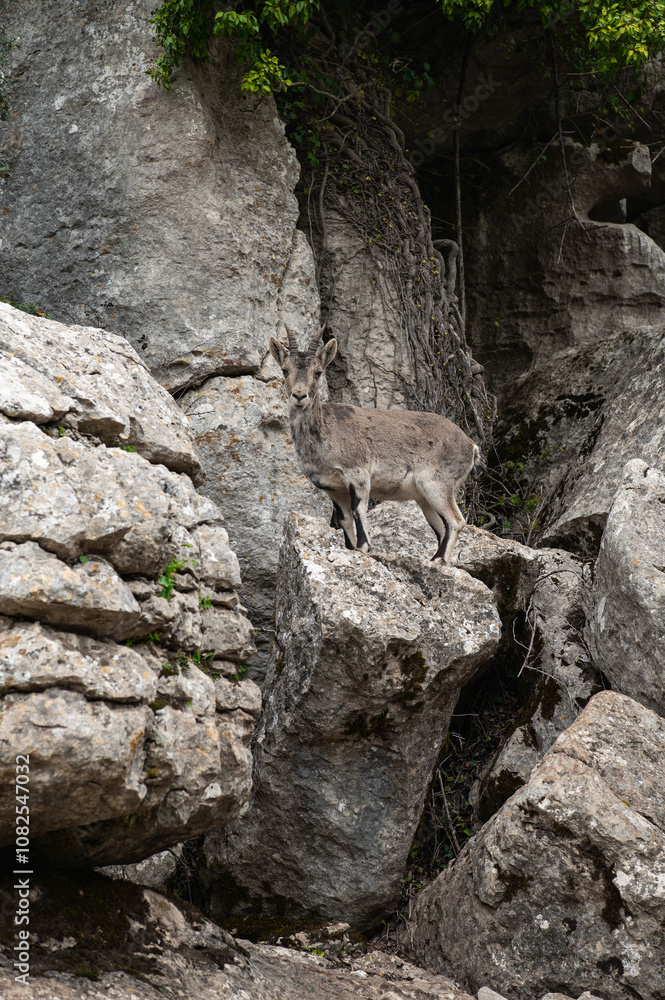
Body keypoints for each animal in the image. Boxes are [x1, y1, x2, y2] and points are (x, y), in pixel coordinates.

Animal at [269, 327, 484, 564]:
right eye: (285, 370)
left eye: (318, 372)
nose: (299, 395)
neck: (325, 430)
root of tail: (471, 446)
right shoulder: (333, 489)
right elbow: (344, 519)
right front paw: (350, 548)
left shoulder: (357, 474)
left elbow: (358, 510)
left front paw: (363, 547)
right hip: (424, 496)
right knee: (441, 526)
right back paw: (434, 558)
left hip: (437, 483)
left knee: (455, 521)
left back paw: (439, 560)